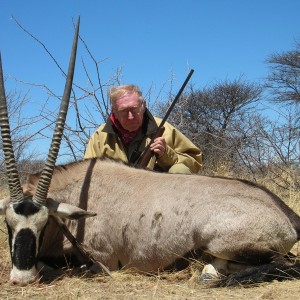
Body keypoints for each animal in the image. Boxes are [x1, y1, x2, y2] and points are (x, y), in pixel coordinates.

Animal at [0, 18, 300, 286]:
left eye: (43, 223)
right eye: (8, 224)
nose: (21, 279)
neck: (77, 193)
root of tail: (289, 215)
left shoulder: (102, 260)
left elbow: (50, 264)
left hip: (224, 241)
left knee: (281, 264)